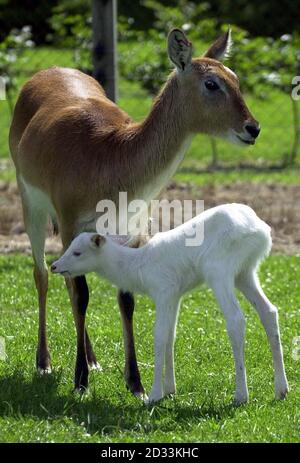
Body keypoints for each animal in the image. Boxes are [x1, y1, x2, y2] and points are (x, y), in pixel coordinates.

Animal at [9, 29, 260, 396]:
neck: (110, 158)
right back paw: (45, 362)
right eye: (212, 83)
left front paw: (135, 382)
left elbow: (126, 299)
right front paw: (80, 382)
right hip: (31, 204)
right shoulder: (70, 224)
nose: (252, 128)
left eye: (236, 79)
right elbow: (81, 294)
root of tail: (49, 70)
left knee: (66, 280)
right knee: (42, 274)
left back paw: (93, 359)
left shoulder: (132, 230)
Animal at [51, 205, 288, 404]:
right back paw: (281, 390)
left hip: (218, 270)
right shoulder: (175, 296)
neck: (138, 265)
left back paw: (241, 396)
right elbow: (171, 336)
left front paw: (153, 395)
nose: (54, 266)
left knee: (236, 319)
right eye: (69, 247)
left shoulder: (163, 292)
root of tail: (260, 229)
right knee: (269, 311)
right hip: (244, 272)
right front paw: (170, 390)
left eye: (78, 252)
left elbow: (159, 336)